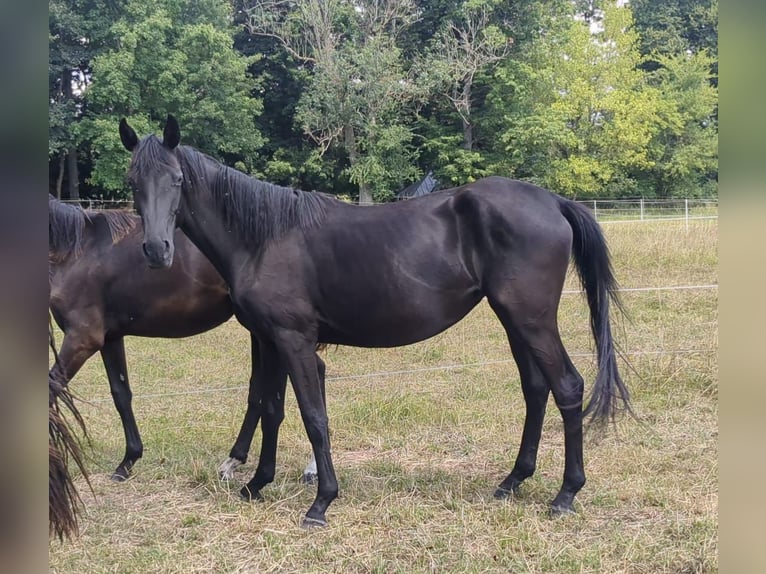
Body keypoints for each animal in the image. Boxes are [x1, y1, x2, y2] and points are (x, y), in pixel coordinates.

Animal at [120, 115, 632, 528]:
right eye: (132, 181)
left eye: (177, 179)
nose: (156, 250)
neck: (263, 238)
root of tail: (554, 201)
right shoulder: (269, 340)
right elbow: (271, 409)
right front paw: (256, 485)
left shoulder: (293, 339)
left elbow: (313, 417)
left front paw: (321, 503)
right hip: (514, 321)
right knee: (536, 389)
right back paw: (512, 482)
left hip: (532, 319)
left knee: (567, 387)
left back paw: (565, 494)